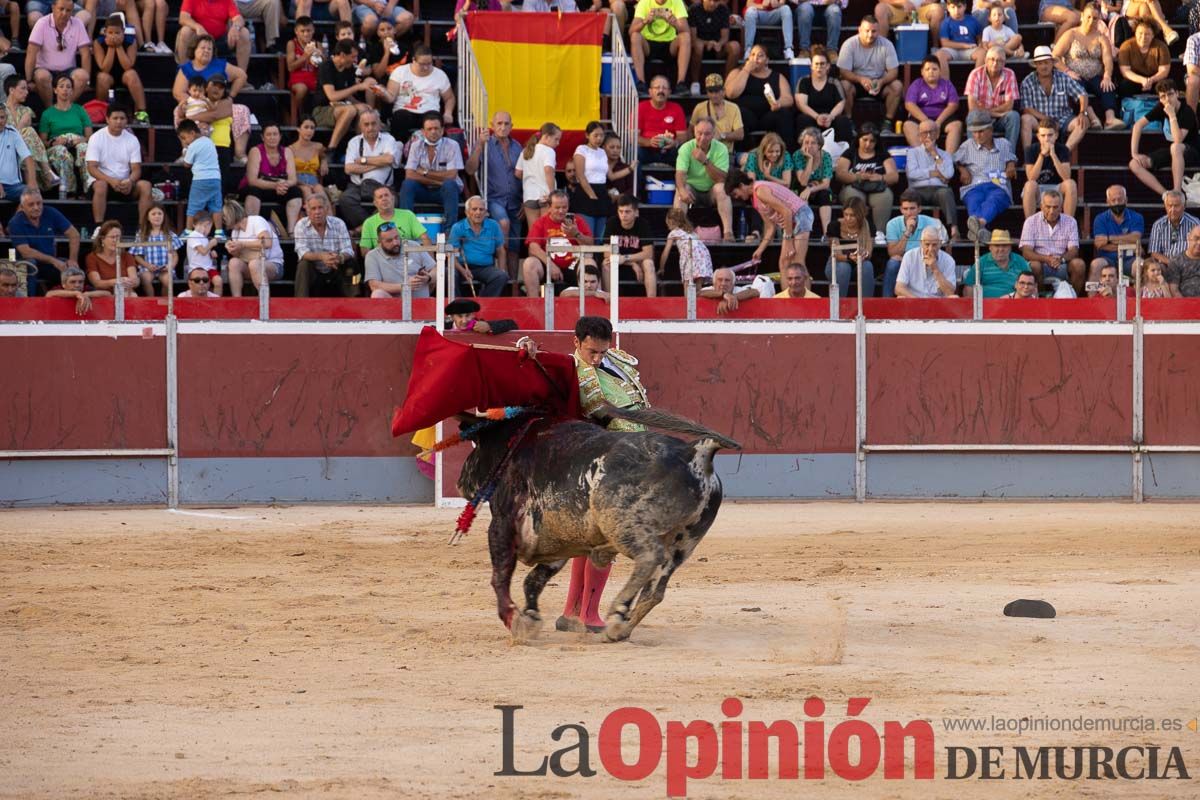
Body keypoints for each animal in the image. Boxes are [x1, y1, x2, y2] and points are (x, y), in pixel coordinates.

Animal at [458, 407, 739, 642]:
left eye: (476, 444)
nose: (460, 482)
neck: (514, 444)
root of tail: (695, 451)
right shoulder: (558, 539)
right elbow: (533, 580)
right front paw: (531, 617)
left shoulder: (502, 522)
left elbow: (501, 575)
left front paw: (516, 621)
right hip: (683, 543)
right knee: (655, 589)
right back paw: (617, 630)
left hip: (624, 525)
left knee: (649, 557)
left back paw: (617, 612)